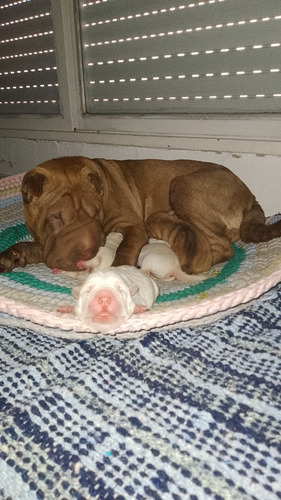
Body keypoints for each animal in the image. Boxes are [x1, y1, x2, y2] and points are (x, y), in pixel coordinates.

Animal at [0, 156, 280, 274]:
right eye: (56, 218)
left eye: (95, 214)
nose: (89, 252)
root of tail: (251, 196)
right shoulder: (47, 243)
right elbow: (32, 246)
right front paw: (11, 256)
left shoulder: (132, 225)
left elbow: (125, 249)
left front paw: (117, 271)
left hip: (182, 186)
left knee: (221, 247)